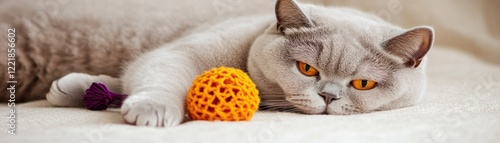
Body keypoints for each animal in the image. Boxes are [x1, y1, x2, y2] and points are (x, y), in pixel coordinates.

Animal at [0, 0, 432, 127]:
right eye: (307, 69)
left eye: (362, 84)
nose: (328, 96)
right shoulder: (180, 51)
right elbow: (159, 71)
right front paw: (152, 109)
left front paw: (74, 86)